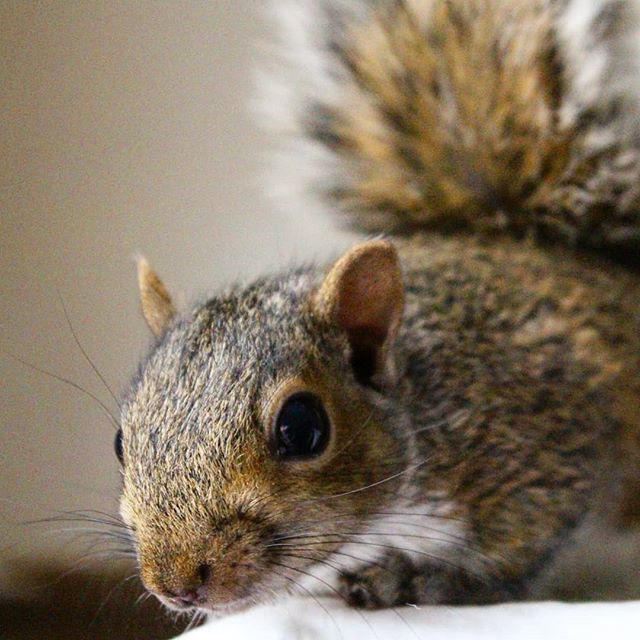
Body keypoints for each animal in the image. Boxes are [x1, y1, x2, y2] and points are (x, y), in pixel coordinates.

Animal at [117, 0, 640, 615]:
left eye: (303, 428)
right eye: (120, 441)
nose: (174, 583)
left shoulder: (545, 442)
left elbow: (513, 563)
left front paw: (416, 581)